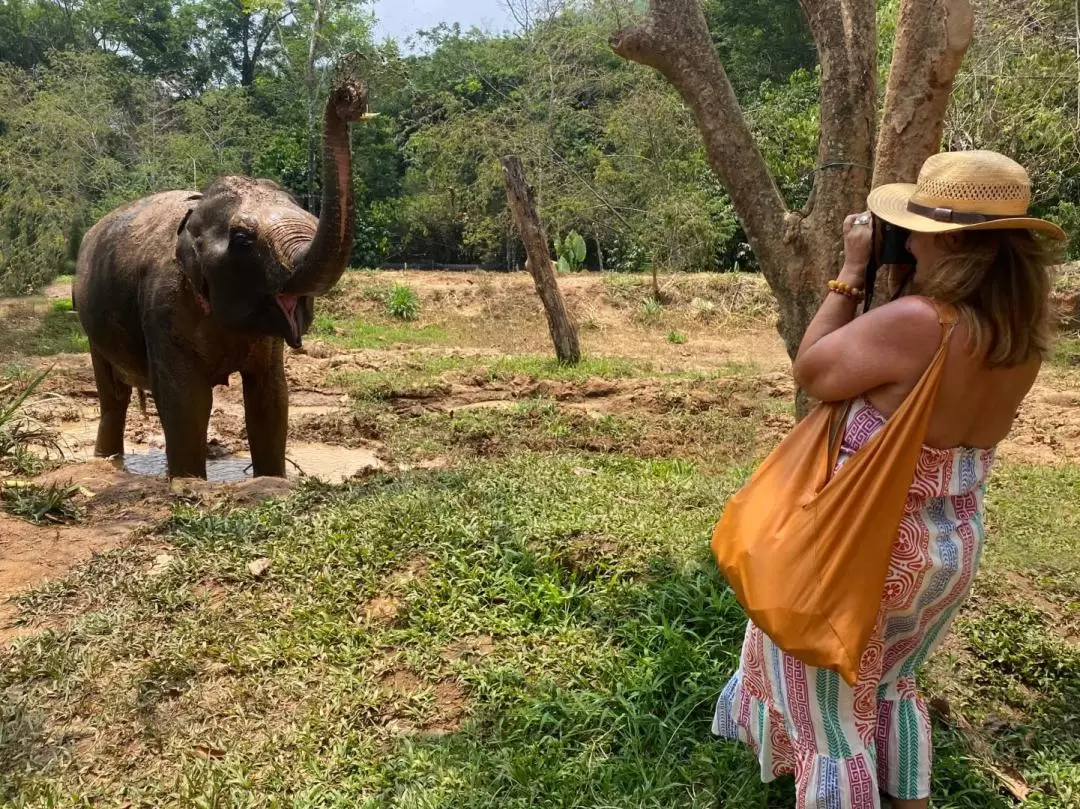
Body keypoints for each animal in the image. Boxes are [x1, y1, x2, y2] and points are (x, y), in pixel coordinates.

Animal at [73, 78, 371, 477]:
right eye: (243, 239)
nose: (346, 97)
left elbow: (271, 397)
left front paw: (273, 478)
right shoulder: (162, 305)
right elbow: (186, 402)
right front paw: (187, 480)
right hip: (90, 323)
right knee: (112, 396)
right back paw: (107, 462)